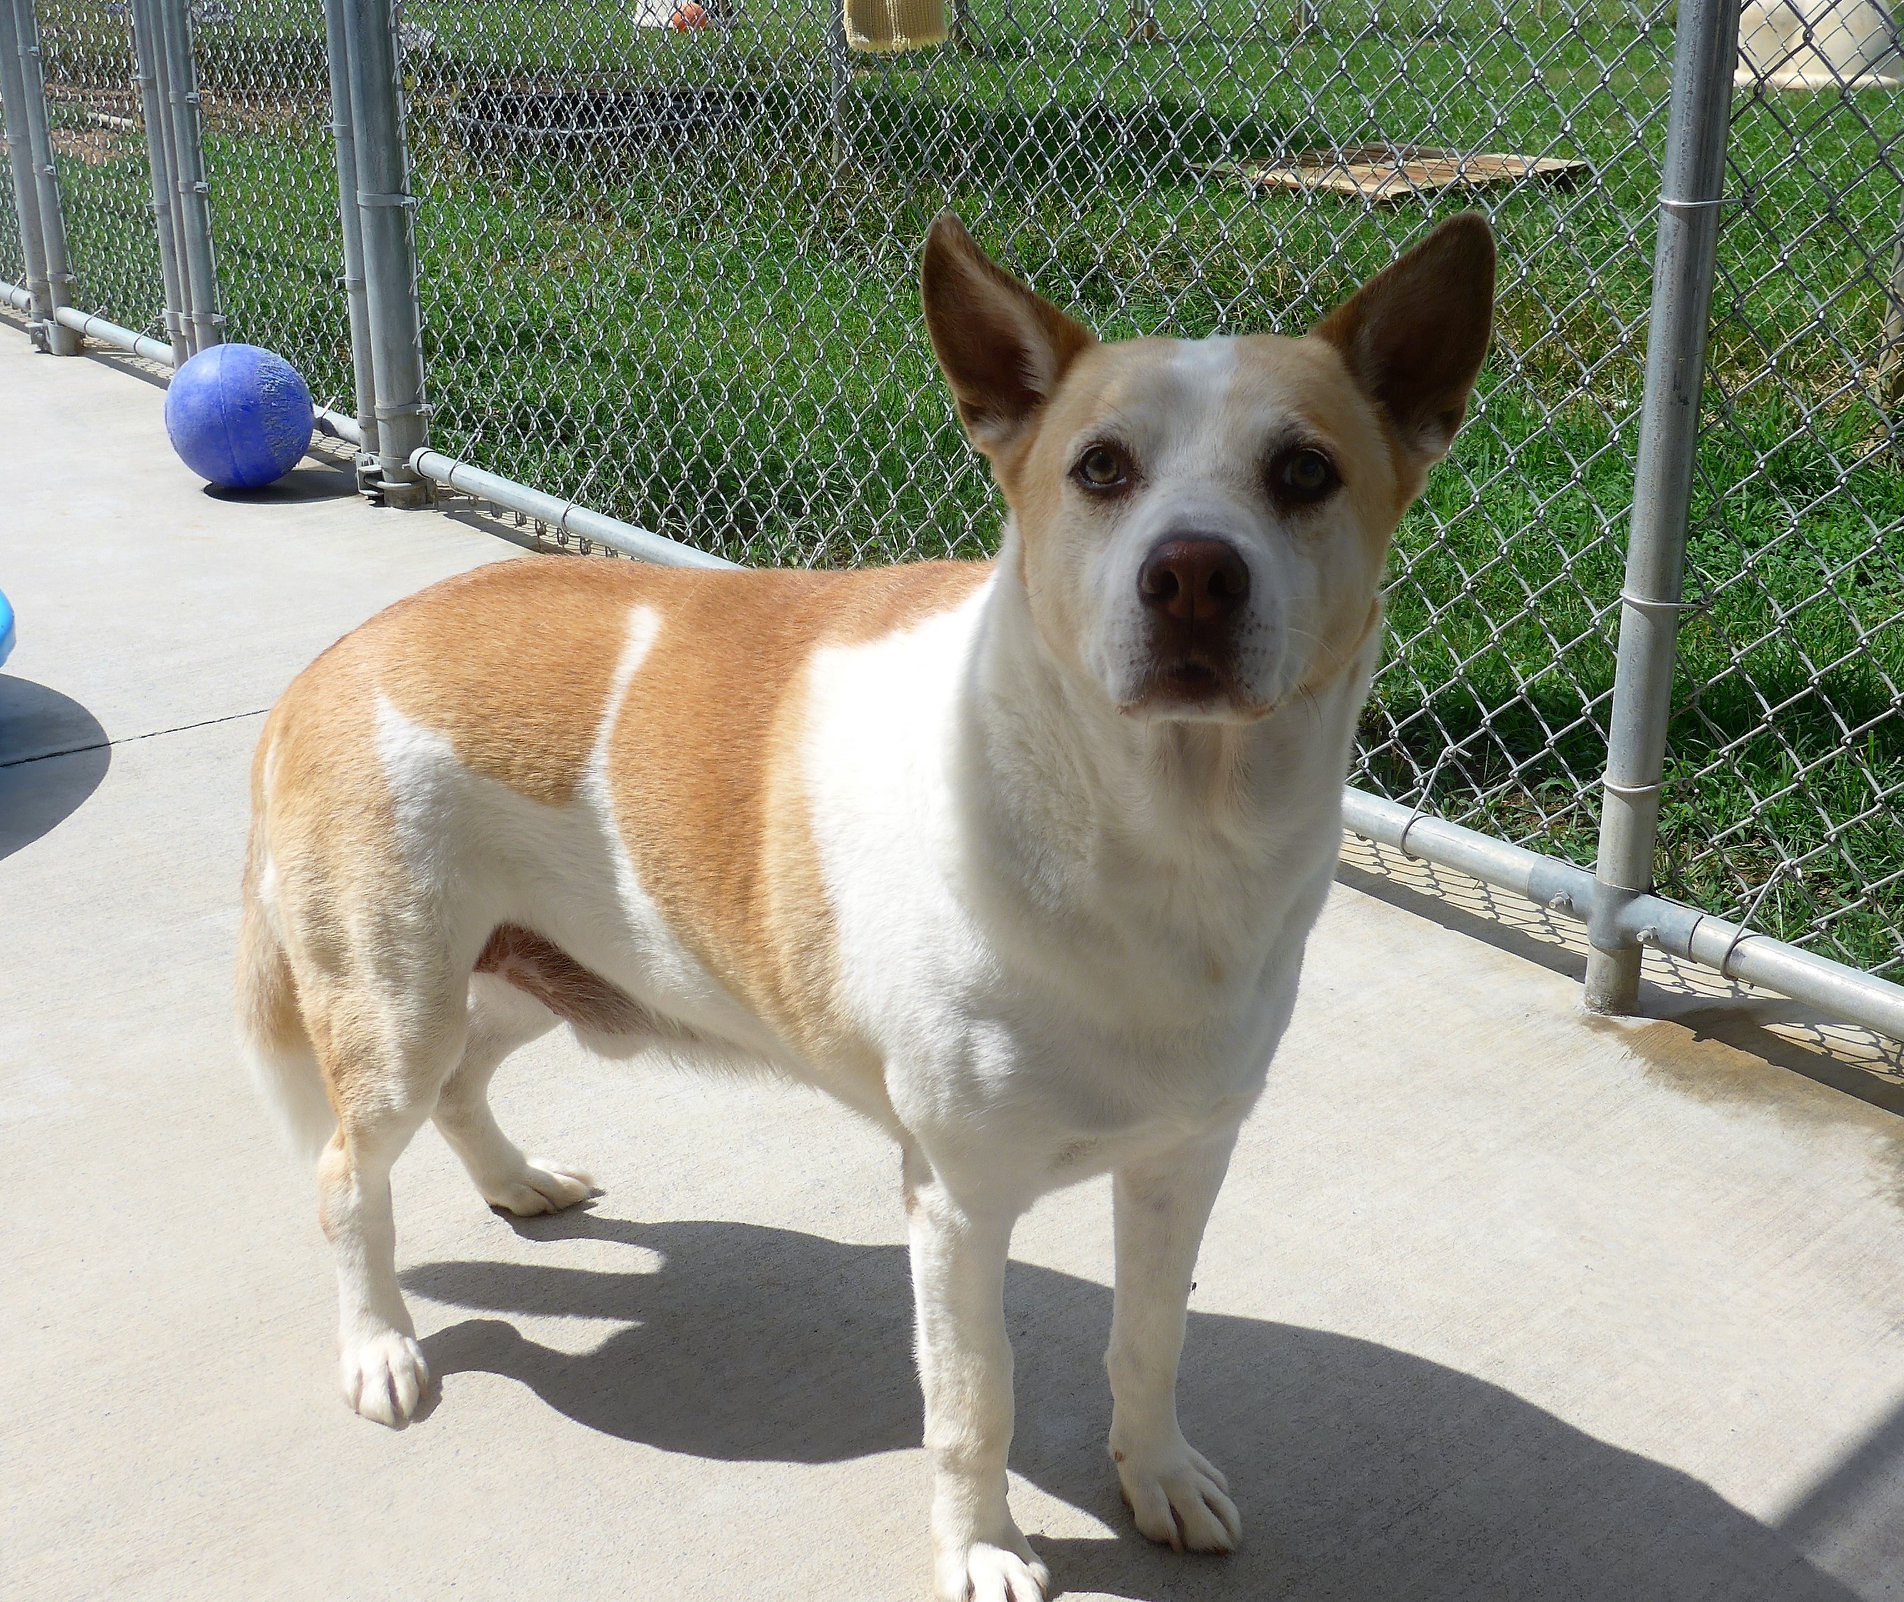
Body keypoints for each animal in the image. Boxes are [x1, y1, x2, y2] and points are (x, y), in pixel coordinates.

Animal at [241, 215, 1485, 1600]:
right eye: (1100, 467)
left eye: (1303, 470)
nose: (1193, 578)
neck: (1162, 840)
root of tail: (329, 664)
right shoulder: (957, 1200)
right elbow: (976, 1404)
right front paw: (983, 1549)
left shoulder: (1183, 1160)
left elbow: (1150, 1340)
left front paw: (1154, 1474)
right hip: (399, 1010)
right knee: (348, 1175)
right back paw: (379, 1348)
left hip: (530, 975)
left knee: (464, 1091)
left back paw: (517, 1183)